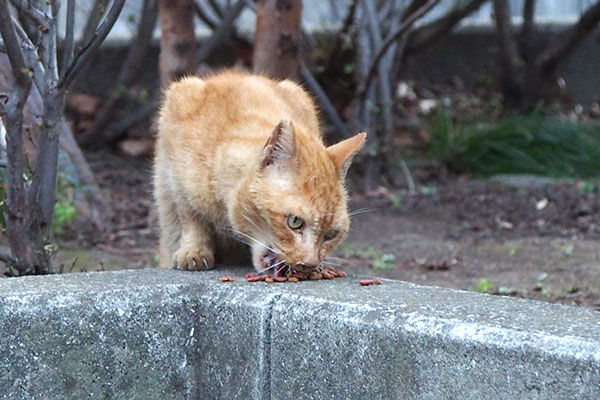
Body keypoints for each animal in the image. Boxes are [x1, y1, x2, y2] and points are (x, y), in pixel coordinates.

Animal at [155, 70, 366, 274]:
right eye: (294, 221)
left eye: (331, 234)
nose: (309, 264)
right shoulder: (176, 179)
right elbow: (191, 217)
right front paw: (194, 250)